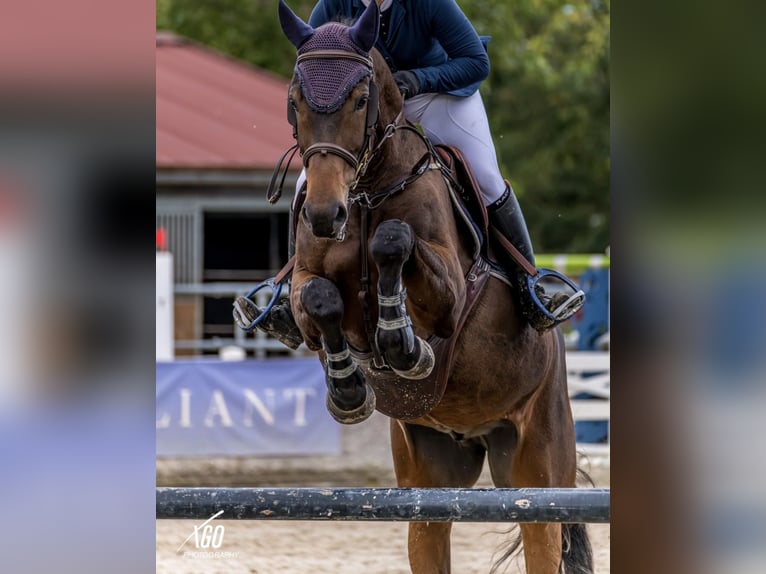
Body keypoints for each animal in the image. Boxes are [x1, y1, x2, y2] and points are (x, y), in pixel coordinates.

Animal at [276, 2, 592, 572]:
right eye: (295, 101)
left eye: (361, 100)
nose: (325, 215)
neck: (365, 195)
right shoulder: (307, 284)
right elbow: (319, 298)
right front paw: (349, 388)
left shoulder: (449, 291)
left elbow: (394, 242)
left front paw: (402, 344)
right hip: (428, 485)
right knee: (430, 529)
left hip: (538, 470)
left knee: (542, 531)